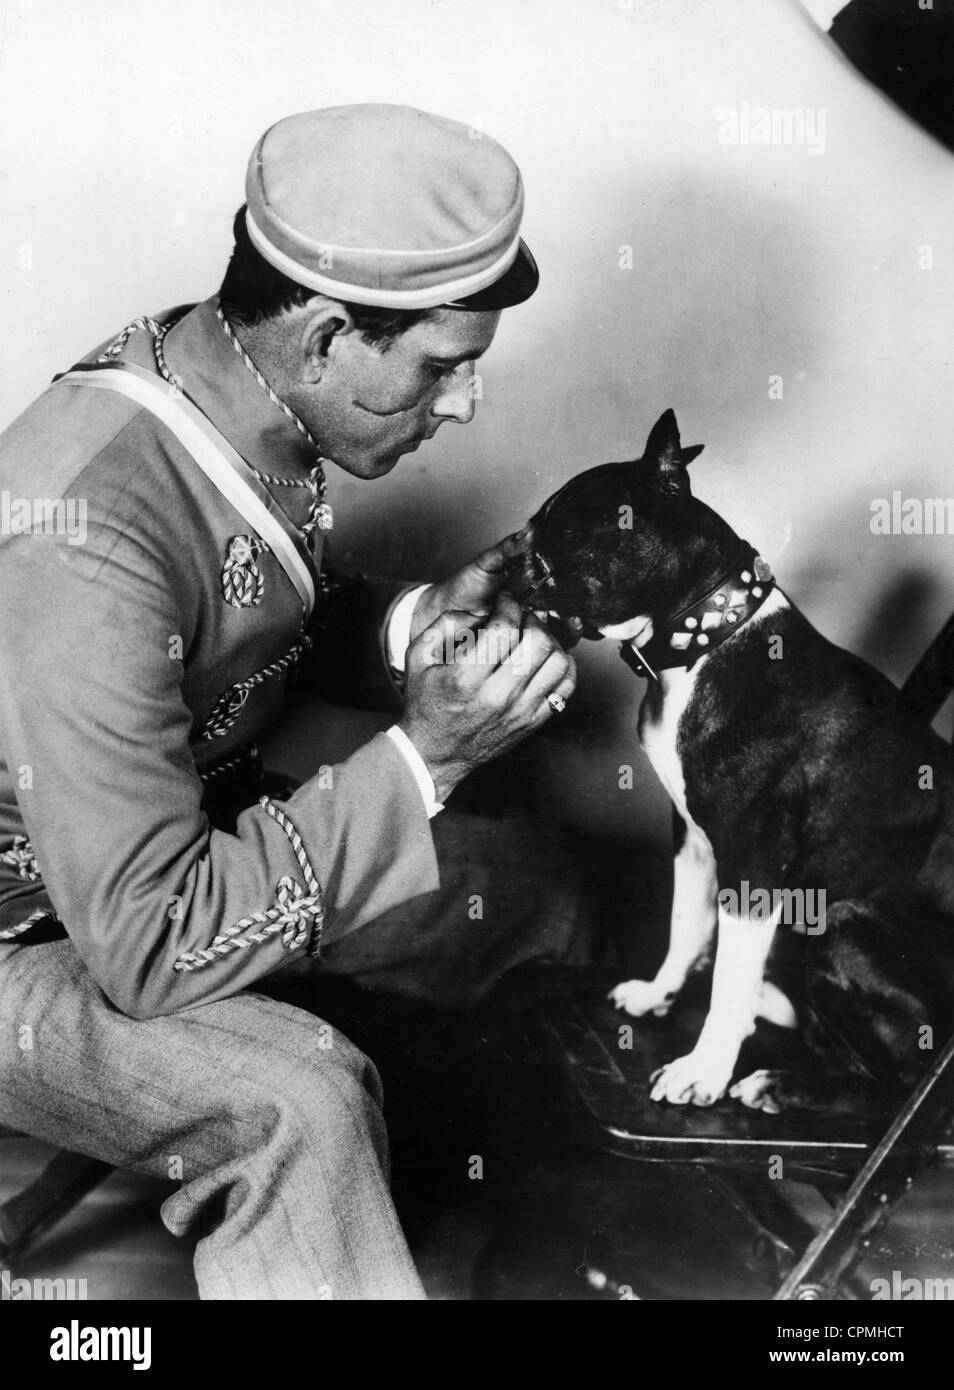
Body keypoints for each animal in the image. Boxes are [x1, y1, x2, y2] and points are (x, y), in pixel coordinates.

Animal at [514, 405, 954, 1112]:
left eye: (563, 529)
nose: (516, 552)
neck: (699, 647)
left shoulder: (754, 868)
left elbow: (727, 976)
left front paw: (704, 1071)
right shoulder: (693, 840)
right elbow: (685, 925)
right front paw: (659, 993)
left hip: (840, 924)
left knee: (892, 1081)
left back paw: (780, 1081)